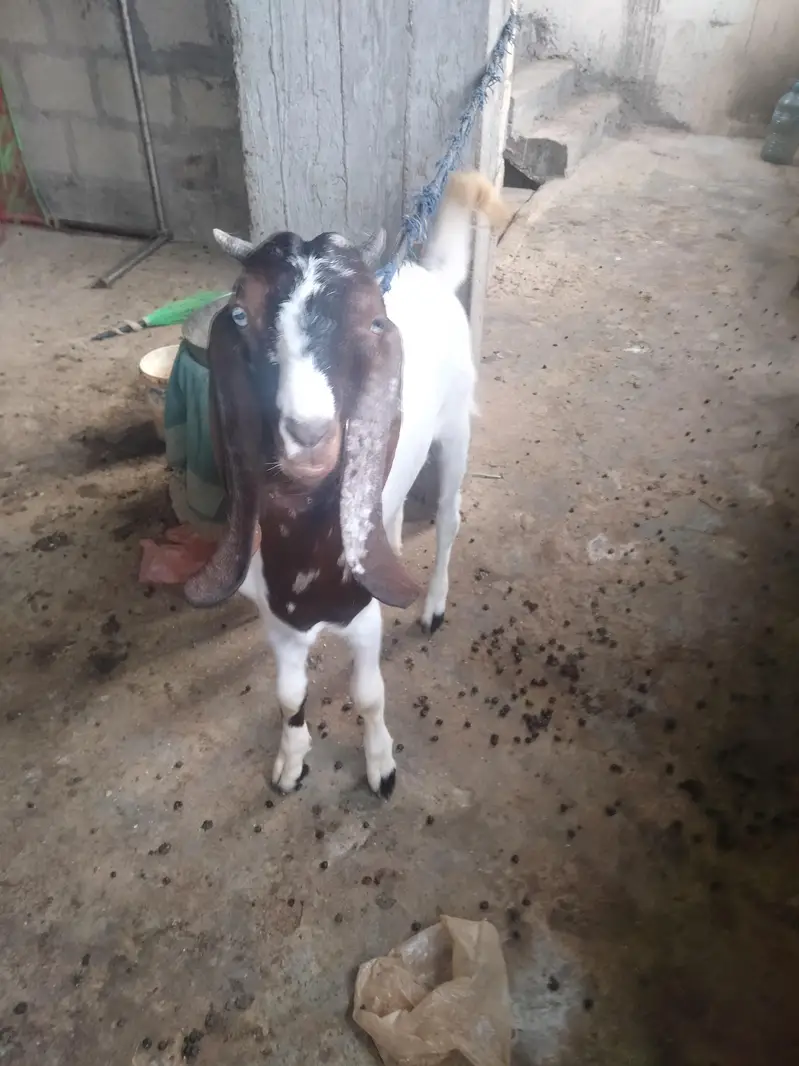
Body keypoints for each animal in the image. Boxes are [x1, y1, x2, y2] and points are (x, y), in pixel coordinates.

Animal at [184, 171, 508, 797]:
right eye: (241, 316)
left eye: (372, 322)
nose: (309, 432)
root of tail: (431, 275)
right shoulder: (277, 622)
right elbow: (288, 695)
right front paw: (290, 762)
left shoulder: (362, 621)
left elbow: (368, 694)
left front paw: (381, 766)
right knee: (395, 507)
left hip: (456, 428)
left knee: (450, 519)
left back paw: (434, 604)